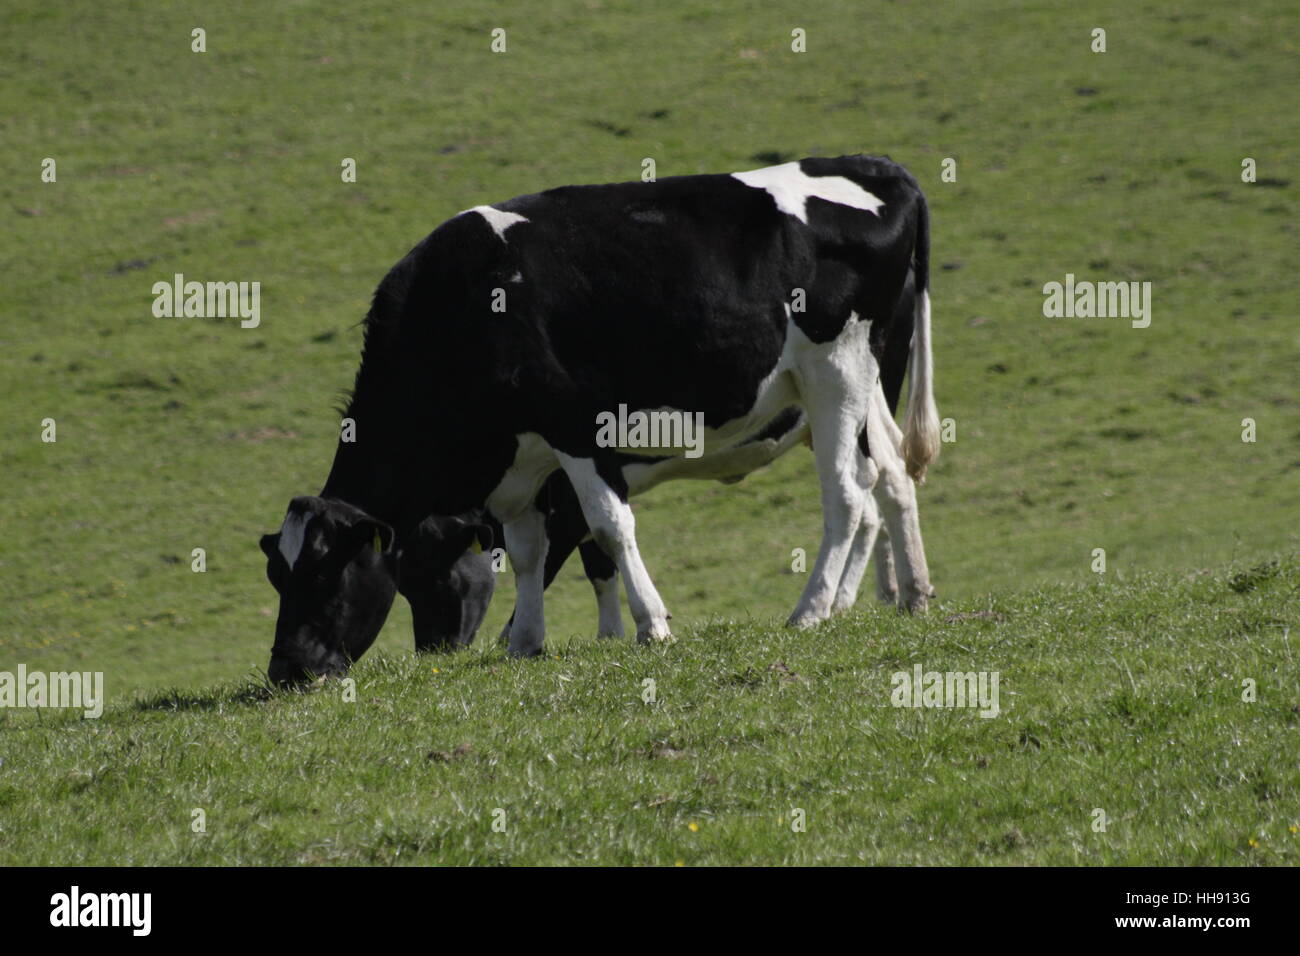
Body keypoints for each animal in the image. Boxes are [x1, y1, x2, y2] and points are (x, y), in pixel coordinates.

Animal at [261, 155, 935, 681]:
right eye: (277, 576)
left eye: (324, 572)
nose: (285, 670)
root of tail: (876, 167)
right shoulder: (522, 459)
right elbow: (529, 551)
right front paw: (525, 644)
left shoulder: (577, 426)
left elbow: (608, 528)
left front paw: (651, 625)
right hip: (866, 384)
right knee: (892, 474)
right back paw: (915, 595)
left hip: (836, 368)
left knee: (849, 491)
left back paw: (813, 610)